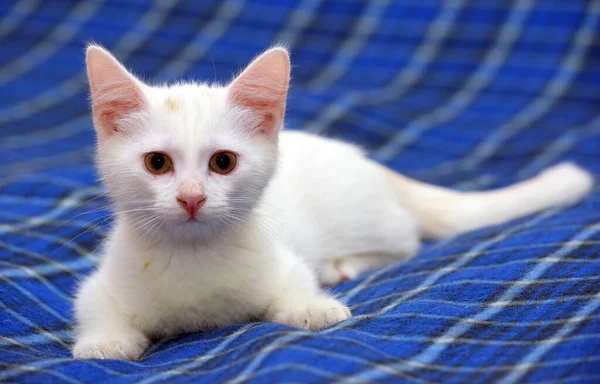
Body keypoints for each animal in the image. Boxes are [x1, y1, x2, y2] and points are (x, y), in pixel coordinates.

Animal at [72, 45, 592, 360]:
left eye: (223, 162)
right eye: (157, 163)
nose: (191, 197)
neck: (191, 256)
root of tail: (368, 161)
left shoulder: (281, 261)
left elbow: (295, 284)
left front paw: (314, 307)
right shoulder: (101, 284)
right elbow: (93, 306)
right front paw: (105, 341)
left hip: (375, 221)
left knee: (406, 242)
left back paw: (342, 266)